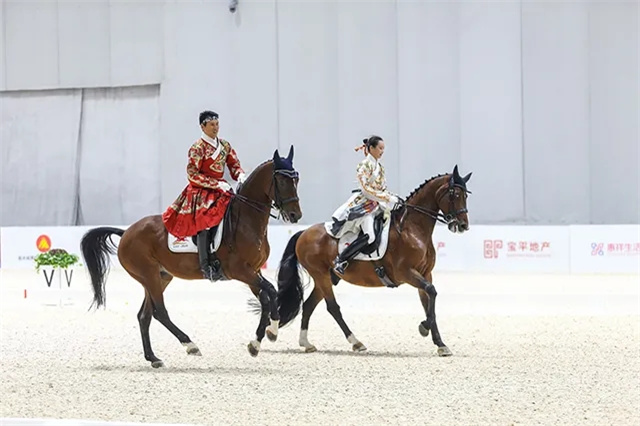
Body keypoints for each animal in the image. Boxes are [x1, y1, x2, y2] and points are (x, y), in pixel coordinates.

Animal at [80, 147, 302, 368]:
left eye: (296, 179)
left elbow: (266, 298)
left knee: (145, 315)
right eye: (281, 181)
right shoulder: (240, 271)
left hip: (160, 277)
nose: (295, 215)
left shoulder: (253, 272)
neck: (247, 221)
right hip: (149, 276)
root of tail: (126, 232)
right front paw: (271, 331)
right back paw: (190, 345)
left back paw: (153, 358)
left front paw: (258, 342)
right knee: (160, 312)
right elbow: (271, 291)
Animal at [272, 164, 471, 356]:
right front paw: (424, 327)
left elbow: (429, 301)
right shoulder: (406, 273)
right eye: (454, 194)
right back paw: (356, 342)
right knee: (333, 307)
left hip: (327, 278)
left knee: (308, 305)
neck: (413, 229)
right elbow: (432, 292)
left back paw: (306, 343)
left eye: (465, 195)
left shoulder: (425, 274)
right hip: (320, 275)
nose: (463, 225)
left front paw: (440, 344)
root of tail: (303, 233)